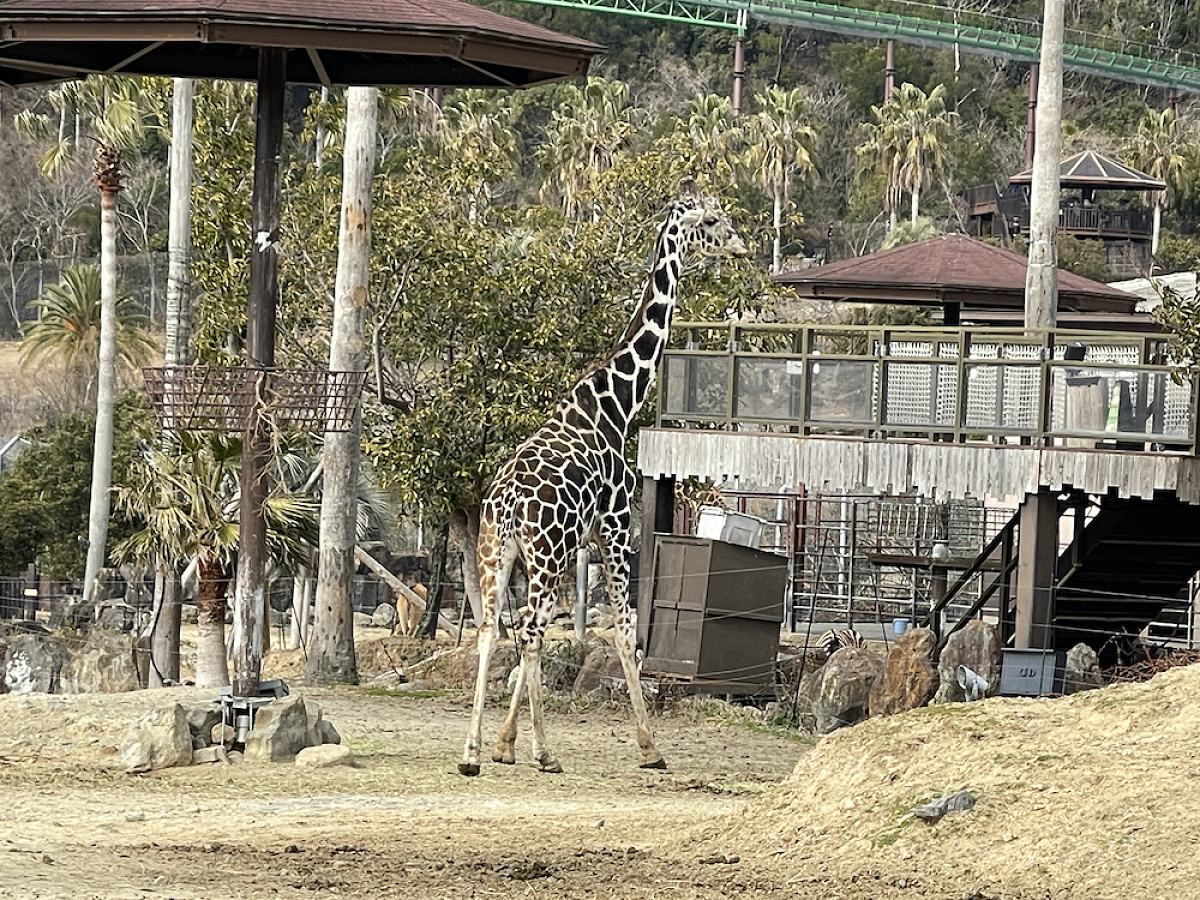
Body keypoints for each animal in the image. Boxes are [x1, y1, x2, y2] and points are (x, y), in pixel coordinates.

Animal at [460, 181, 748, 777]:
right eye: (712, 220)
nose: (741, 245)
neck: (617, 403)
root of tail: (508, 500)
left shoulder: (585, 541)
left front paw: (502, 744)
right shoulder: (615, 529)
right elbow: (624, 631)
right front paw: (650, 747)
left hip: (498, 551)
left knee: (492, 628)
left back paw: (472, 753)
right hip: (546, 554)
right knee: (530, 632)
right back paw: (545, 752)